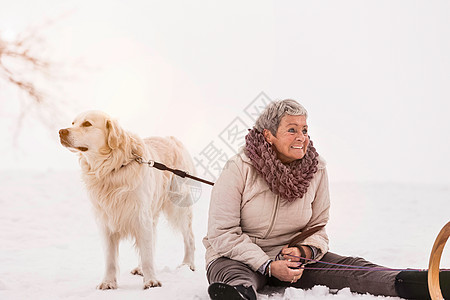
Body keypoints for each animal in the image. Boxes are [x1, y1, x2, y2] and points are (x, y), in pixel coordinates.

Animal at [58, 111, 195, 290]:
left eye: (87, 124)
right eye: (73, 123)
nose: (61, 132)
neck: (112, 168)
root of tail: (172, 139)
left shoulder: (140, 216)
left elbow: (147, 254)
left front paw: (151, 281)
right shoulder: (106, 221)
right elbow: (111, 259)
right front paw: (108, 282)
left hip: (177, 206)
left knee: (188, 237)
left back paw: (188, 264)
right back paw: (140, 268)